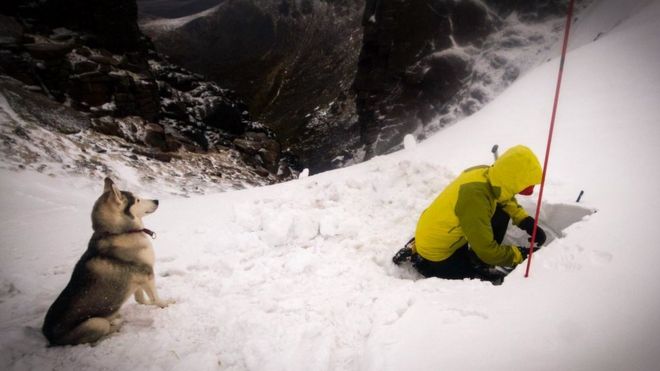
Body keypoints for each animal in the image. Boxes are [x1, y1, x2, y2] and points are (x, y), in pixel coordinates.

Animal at [41, 177, 170, 346]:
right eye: (137, 200)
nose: (157, 200)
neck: (119, 232)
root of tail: (48, 336)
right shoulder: (147, 274)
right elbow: (156, 298)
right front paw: (167, 304)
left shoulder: (138, 278)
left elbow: (141, 299)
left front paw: (146, 303)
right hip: (95, 323)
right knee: (101, 333)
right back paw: (117, 324)